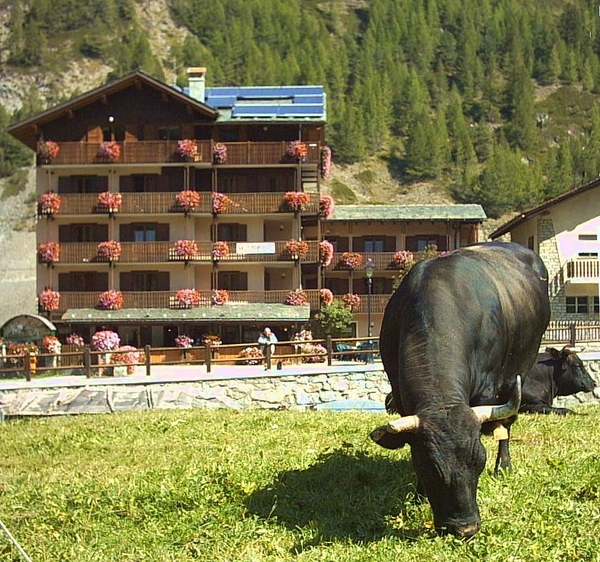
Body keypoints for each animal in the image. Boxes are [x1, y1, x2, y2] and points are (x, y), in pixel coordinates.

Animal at [372, 238, 552, 536]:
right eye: (428, 468)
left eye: (479, 461)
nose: (464, 528)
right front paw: (419, 494)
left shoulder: (487, 391)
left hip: (522, 366)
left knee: (507, 425)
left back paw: (504, 466)